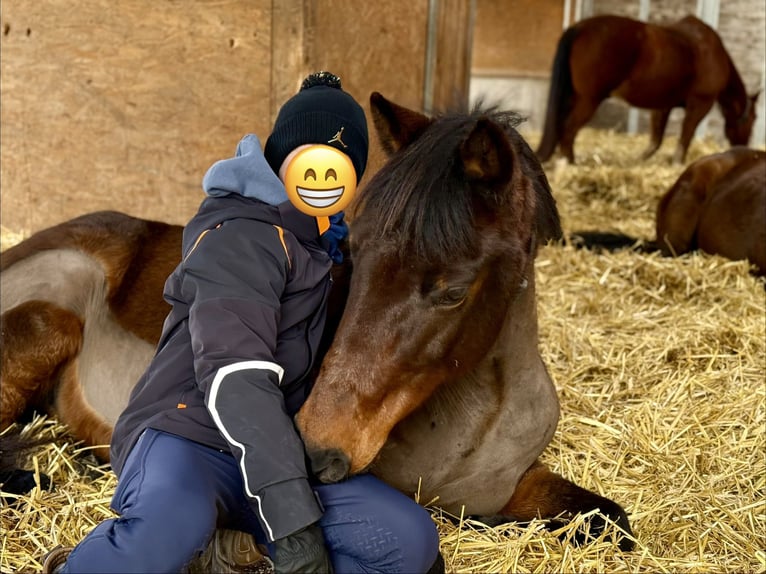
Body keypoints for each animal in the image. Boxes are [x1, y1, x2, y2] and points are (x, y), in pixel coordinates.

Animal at [536, 14, 759, 165]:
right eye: (753, 119)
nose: (744, 146)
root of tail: (580, 27)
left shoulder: (663, 106)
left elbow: (656, 140)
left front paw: (639, 160)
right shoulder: (700, 104)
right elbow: (685, 136)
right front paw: (677, 163)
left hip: (573, 97)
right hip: (589, 100)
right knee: (569, 128)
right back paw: (569, 161)